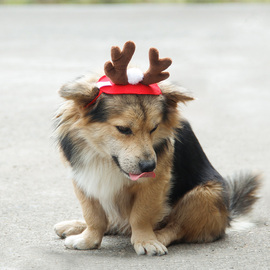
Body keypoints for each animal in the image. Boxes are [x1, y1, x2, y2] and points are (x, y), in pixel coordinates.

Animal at [53, 41, 262, 255]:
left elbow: (140, 215)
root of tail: (228, 216)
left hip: (206, 194)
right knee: (115, 222)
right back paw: (74, 225)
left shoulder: (156, 181)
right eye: (123, 129)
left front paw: (146, 241)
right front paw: (88, 238)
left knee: (177, 228)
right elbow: (93, 215)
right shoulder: (84, 179)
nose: (148, 167)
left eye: (154, 128)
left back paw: (158, 236)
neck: (104, 158)